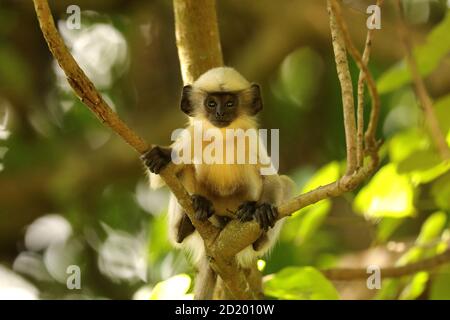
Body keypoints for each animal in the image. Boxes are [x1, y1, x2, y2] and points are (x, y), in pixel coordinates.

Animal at [142, 67, 294, 300]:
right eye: (211, 103)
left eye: (230, 103)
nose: (220, 113)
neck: (222, 137)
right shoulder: (193, 136)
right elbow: (161, 177)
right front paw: (162, 155)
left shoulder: (250, 139)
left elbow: (273, 179)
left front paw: (264, 208)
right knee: (184, 173)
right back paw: (187, 223)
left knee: (285, 183)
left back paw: (254, 223)